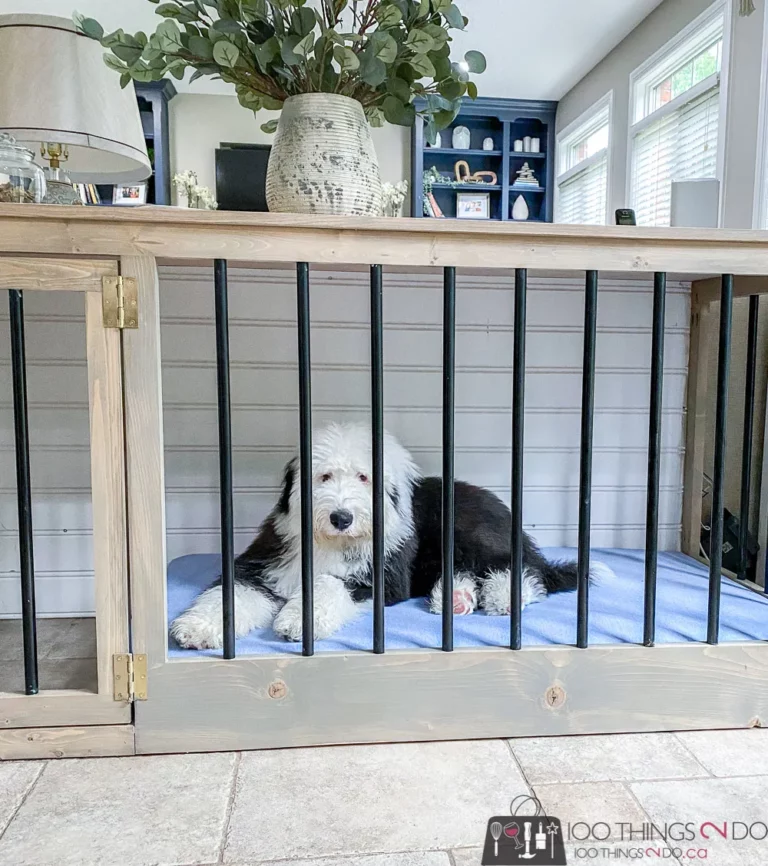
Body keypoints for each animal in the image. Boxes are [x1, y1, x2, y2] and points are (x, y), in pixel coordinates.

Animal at [171, 422, 608, 644]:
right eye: (324, 476)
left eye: (365, 477)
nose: (341, 517)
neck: (332, 542)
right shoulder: (268, 564)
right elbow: (233, 592)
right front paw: (197, 628)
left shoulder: (380, 575)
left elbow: (329, 584)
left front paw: (297, 621)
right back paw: (455, 599)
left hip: (471, 531)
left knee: (523, 570)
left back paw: (501, 597)